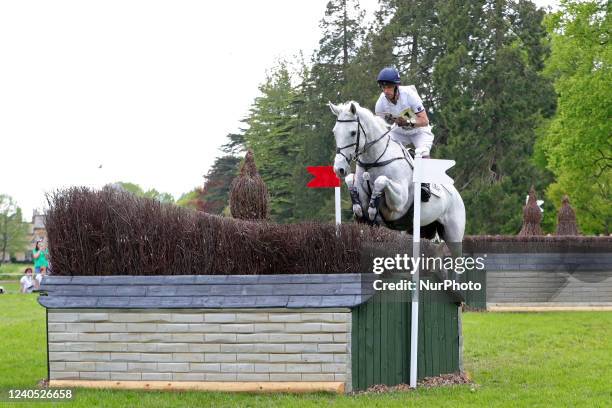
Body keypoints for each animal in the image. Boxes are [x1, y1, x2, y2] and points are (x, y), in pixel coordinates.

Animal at [330, 101, 464, 245]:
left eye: (353, 133)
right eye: (335, 132)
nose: (339, 169)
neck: (374, 161)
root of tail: (457, 195)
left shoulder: (399, 203)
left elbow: (381, 180)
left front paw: (373, 208)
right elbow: (350, 180)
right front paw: (357, 208)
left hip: (453, 234)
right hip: (419, 230)